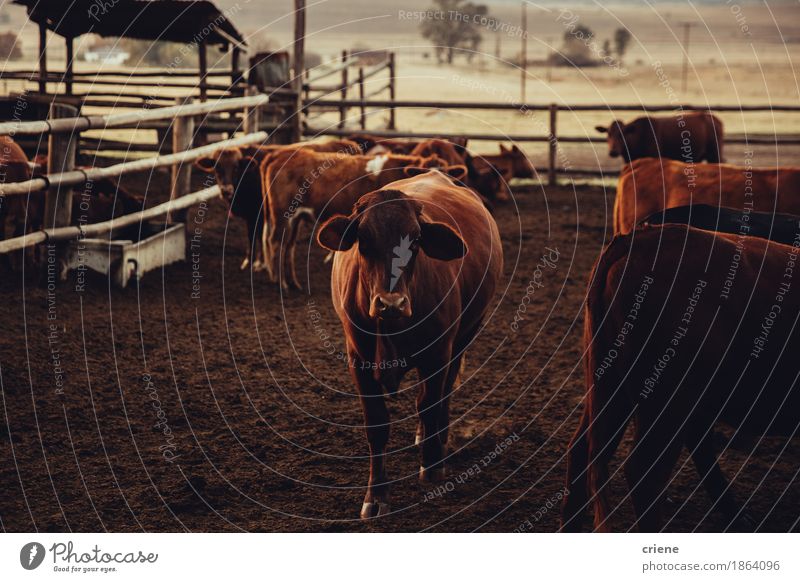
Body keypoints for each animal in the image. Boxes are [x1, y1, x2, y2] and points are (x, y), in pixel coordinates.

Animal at [318, 169, 500, 520]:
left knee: (442, 396)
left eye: (415, 241)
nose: (392, 303)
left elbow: (429, 404)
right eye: (363, 239)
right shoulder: (358, 359)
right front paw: (376, 495)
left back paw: (438, 438)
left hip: (465, 334)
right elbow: (377, 425)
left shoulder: (438, 352)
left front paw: (431, 466)